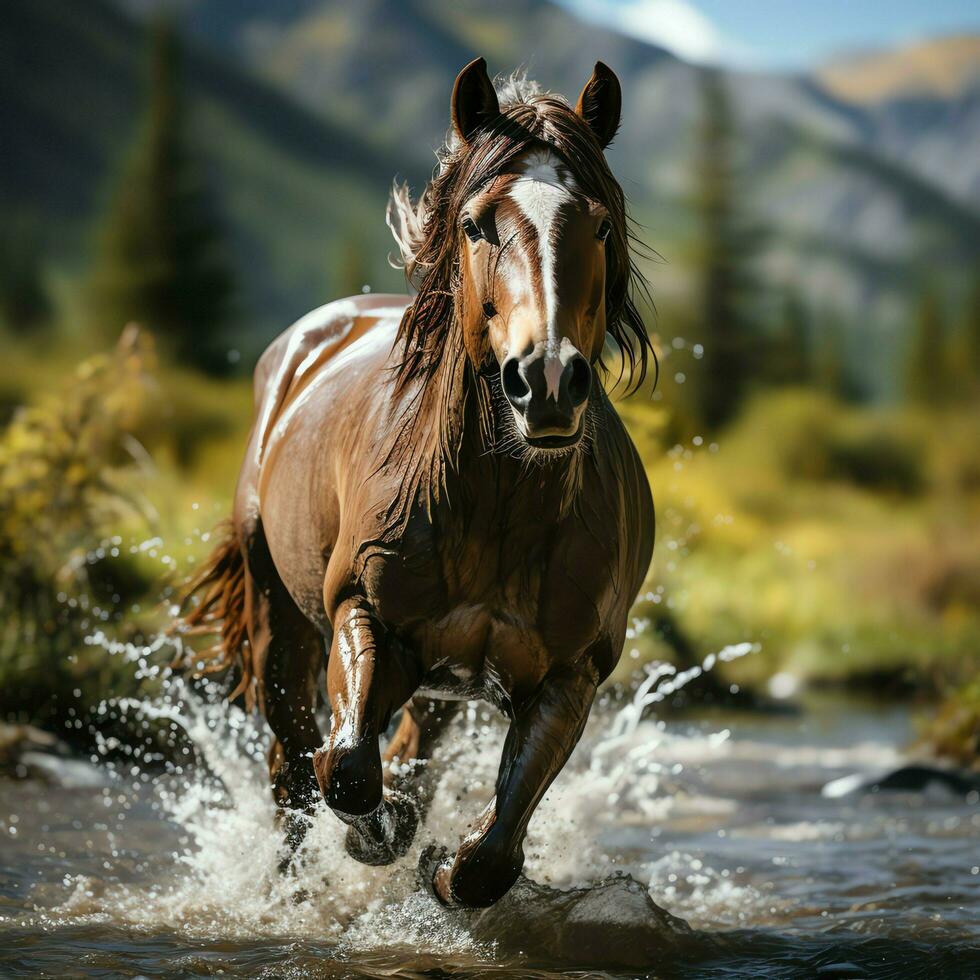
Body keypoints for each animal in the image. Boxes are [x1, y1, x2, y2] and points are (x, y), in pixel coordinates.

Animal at [180, 55, 656, 912]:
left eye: (600, 224)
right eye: (474, 223)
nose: (547, 382)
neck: (496, 509)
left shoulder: (569, 676)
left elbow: (490, 854)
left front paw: (438, 860)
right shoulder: (361, 614)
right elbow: (346, 770)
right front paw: (384, 833)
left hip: (445, 689)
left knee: (397, 753)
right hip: (280, 623)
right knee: (294, 765)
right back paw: (292, 886)